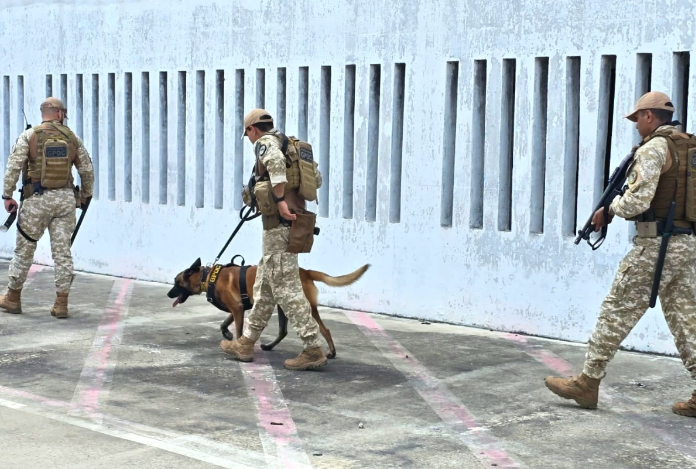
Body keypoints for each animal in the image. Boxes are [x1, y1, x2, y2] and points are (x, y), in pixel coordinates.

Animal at [167, 258, 369, 358]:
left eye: (176, 282)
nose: (169, 294)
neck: (208, 277)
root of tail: (305, 272)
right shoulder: (238, 308)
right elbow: (224, 323)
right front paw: (227, 334)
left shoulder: (237, 309)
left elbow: (238, 330)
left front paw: (236, 344)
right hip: (282, 307)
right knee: (283, 331)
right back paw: (270, 346)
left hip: (303, 307)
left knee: (324, 329)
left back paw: (332, 352)